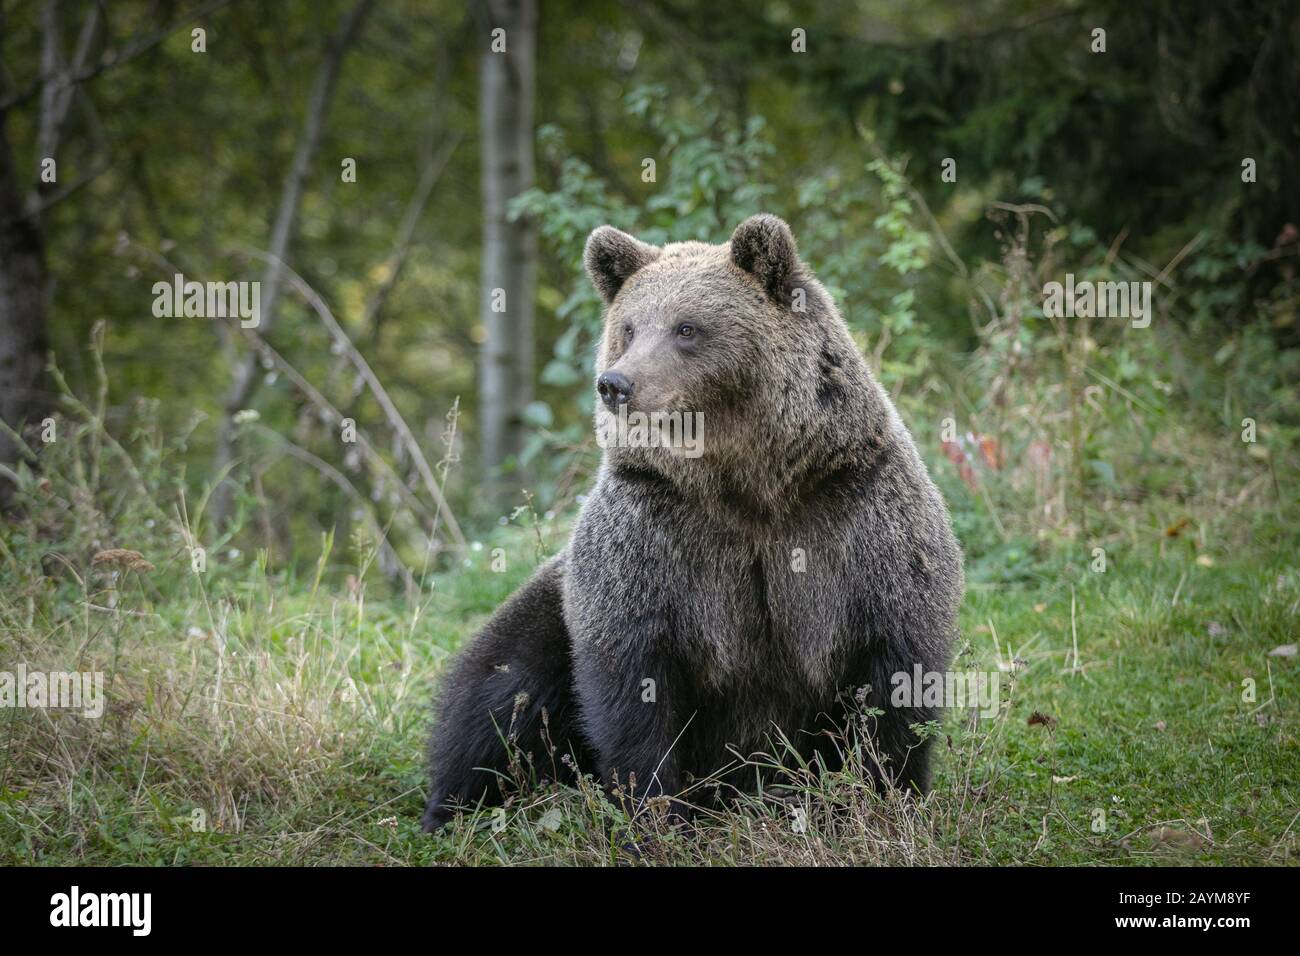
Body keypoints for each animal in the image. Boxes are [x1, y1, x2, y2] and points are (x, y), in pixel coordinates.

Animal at [422, 214, 963, 832]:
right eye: (629, 327)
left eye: (687, 327)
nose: (615, 384)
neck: (748, 487)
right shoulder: (652, 532)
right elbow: (633, 675)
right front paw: (654, 811)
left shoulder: (855, 514)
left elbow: (894, 668)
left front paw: (877, 797)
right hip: (547, 602)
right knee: (500, 691)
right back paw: (454, 809)